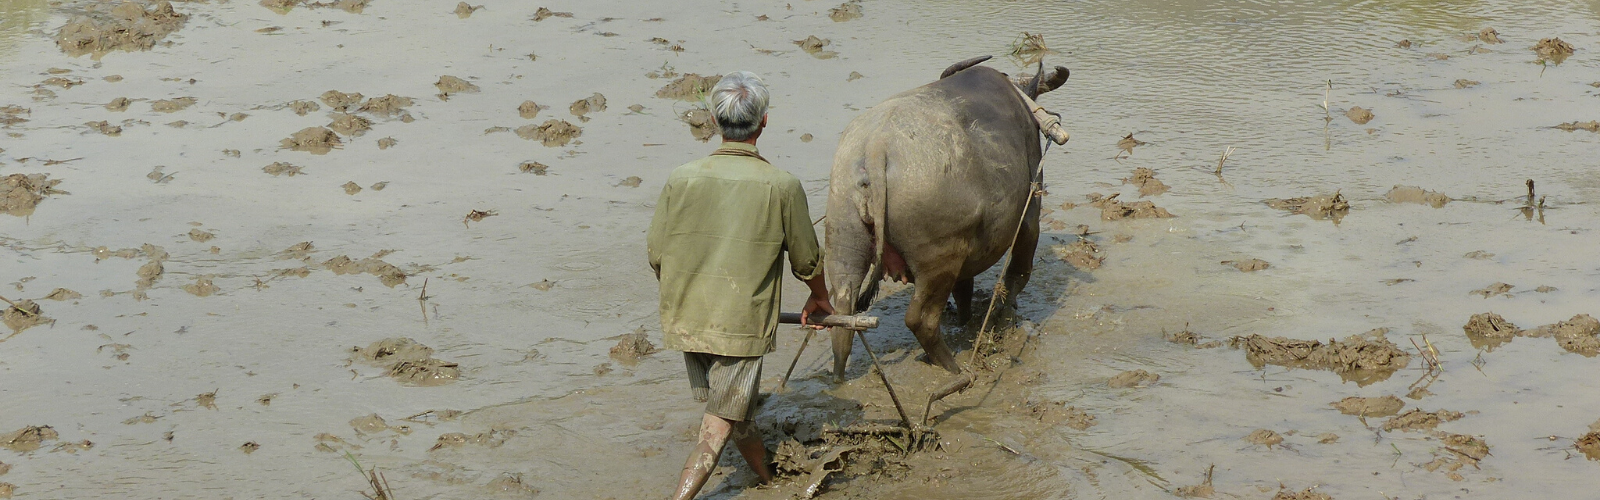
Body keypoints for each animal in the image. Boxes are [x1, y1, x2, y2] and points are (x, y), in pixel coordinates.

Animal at [819, 56, 1068, 381]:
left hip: (844, 246)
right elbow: (1017, 275)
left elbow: (965, 291)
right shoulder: (1030, 217)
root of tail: (875, 147)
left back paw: (839, 376)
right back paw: (953, 368)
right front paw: (1005, 316)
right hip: (938, 263)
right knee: (920, 320)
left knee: (843, 313)